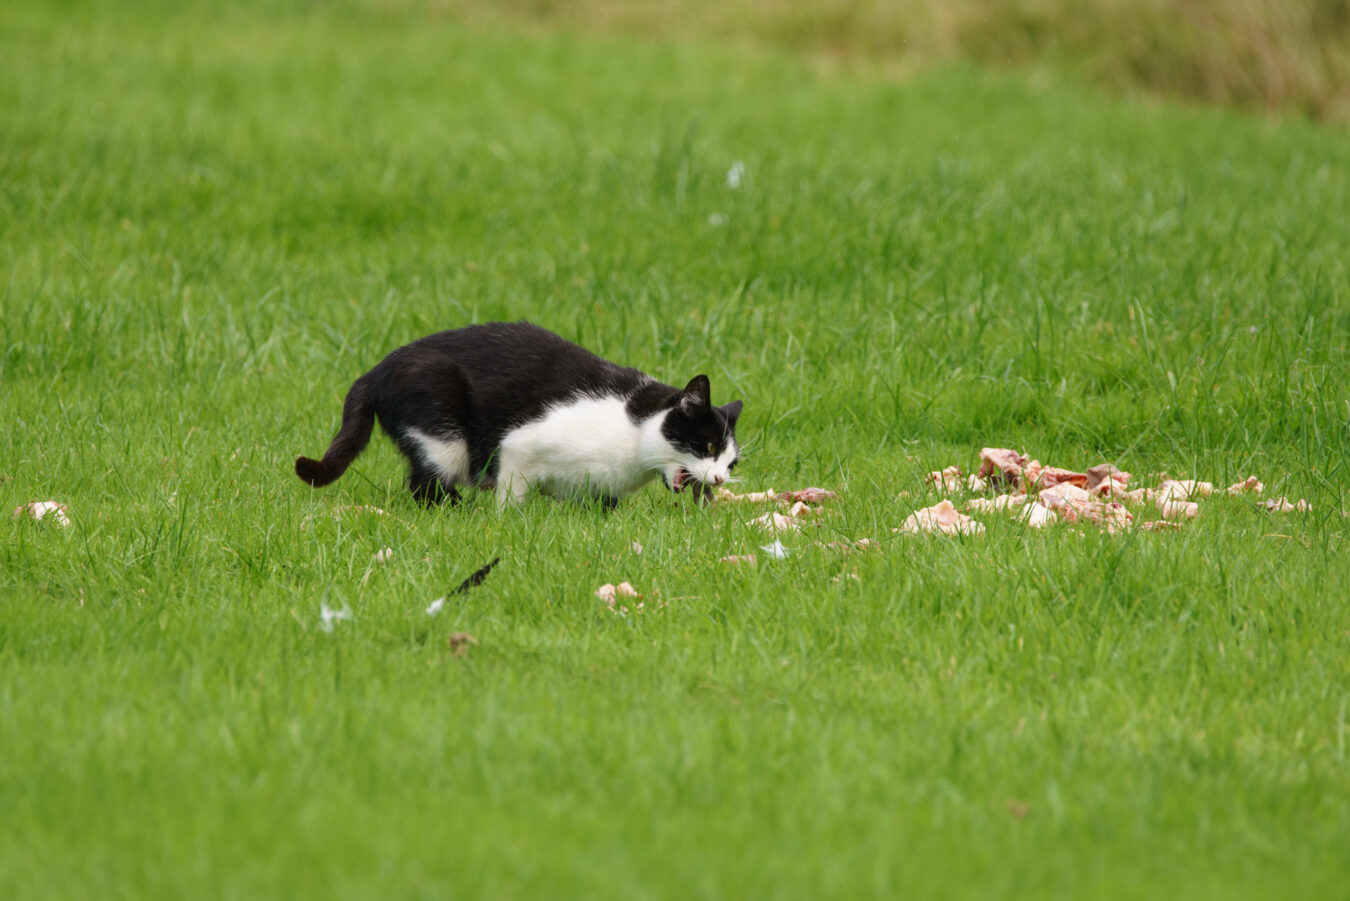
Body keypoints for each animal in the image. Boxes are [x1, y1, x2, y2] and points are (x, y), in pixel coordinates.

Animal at [295, 322, 745, 507]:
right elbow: (511, 495)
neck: (634, 434)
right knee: (427, 485)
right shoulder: (519, 445)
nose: (720, 479)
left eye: (731, 462)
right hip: (442, 419)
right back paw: (458, 511)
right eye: (706, 446)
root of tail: (376, 371)